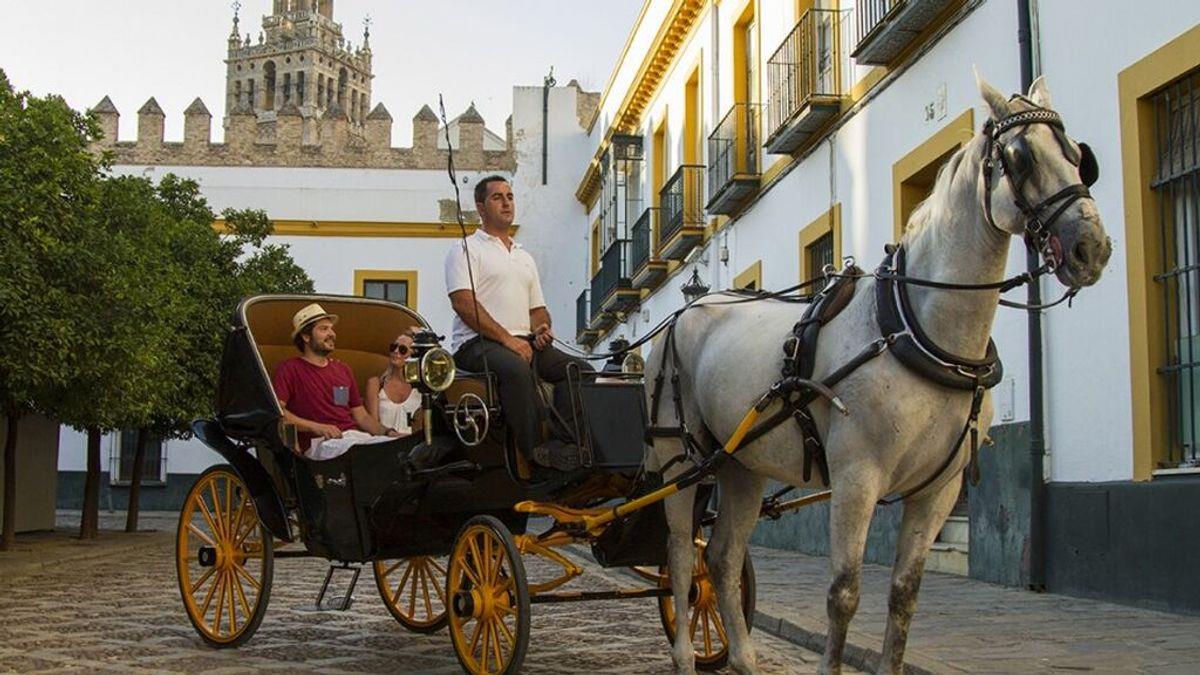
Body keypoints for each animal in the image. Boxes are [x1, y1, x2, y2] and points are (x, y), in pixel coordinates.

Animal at [652, 74, 1108, 672]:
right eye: (1019, 157)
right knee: (683, 559)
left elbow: (904, 595)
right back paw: (684, 653)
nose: (1091, 247)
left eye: (1079, 155)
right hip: (681, 460)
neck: (914, 329)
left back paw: (746, 659)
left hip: (741, 465)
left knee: (724, 559)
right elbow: (843, 595)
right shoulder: (857, 478)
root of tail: (688, 310)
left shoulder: (939, 489)